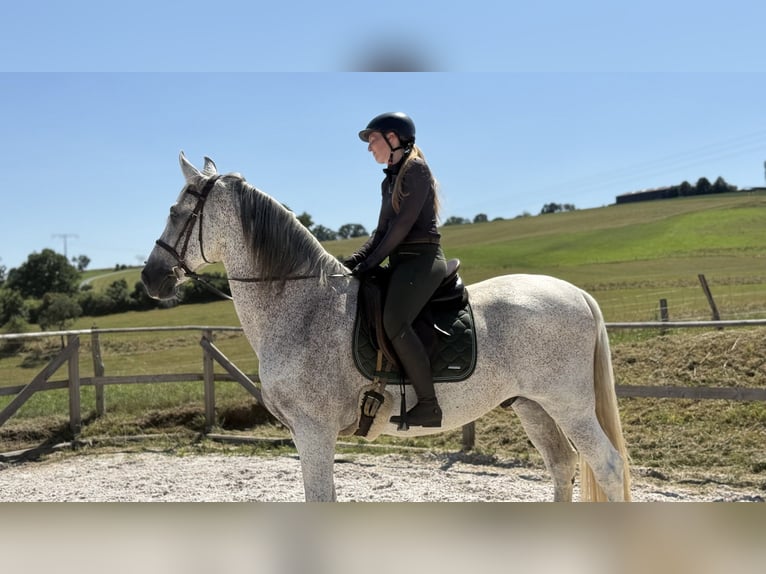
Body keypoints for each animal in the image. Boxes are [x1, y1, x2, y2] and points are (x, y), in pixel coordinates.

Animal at [141, 152, 632, 502]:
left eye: (176, 211)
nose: (150, 278)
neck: (301, 307)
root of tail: (576, 293)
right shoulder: (307, 433)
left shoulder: (313, 430)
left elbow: (320, 498)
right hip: (533, 406)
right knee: (562, 466)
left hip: (569, 406)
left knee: (607, 467)